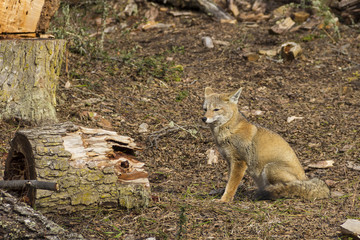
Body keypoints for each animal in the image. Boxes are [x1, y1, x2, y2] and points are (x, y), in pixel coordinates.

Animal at [201, 87, 330, 202]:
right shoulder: (230, 162)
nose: (203, 118)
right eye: (205, 109)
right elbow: (229, 183)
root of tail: (305, 178)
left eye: (216, 109)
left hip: (269, 168)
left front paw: (224, 200)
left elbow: (231, 186)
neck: (229, 130)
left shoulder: (239, 162)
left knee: (289, 189)